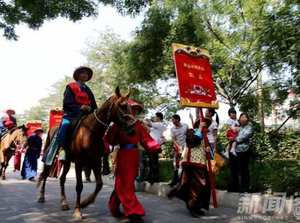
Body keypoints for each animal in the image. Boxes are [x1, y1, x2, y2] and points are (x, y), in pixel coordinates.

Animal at [37, 87, 135, 220]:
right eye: (122, 105)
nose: (132, 127)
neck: (91, 132)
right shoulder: (79, 162)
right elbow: (79, 186)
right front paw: (78, 211)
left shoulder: (96, 161)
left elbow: (99, 184)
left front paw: (84, 203)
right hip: (50, 158)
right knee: (45, 175)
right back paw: (41, 196)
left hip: (67, 161)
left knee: (62, 179)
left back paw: (64, 203)